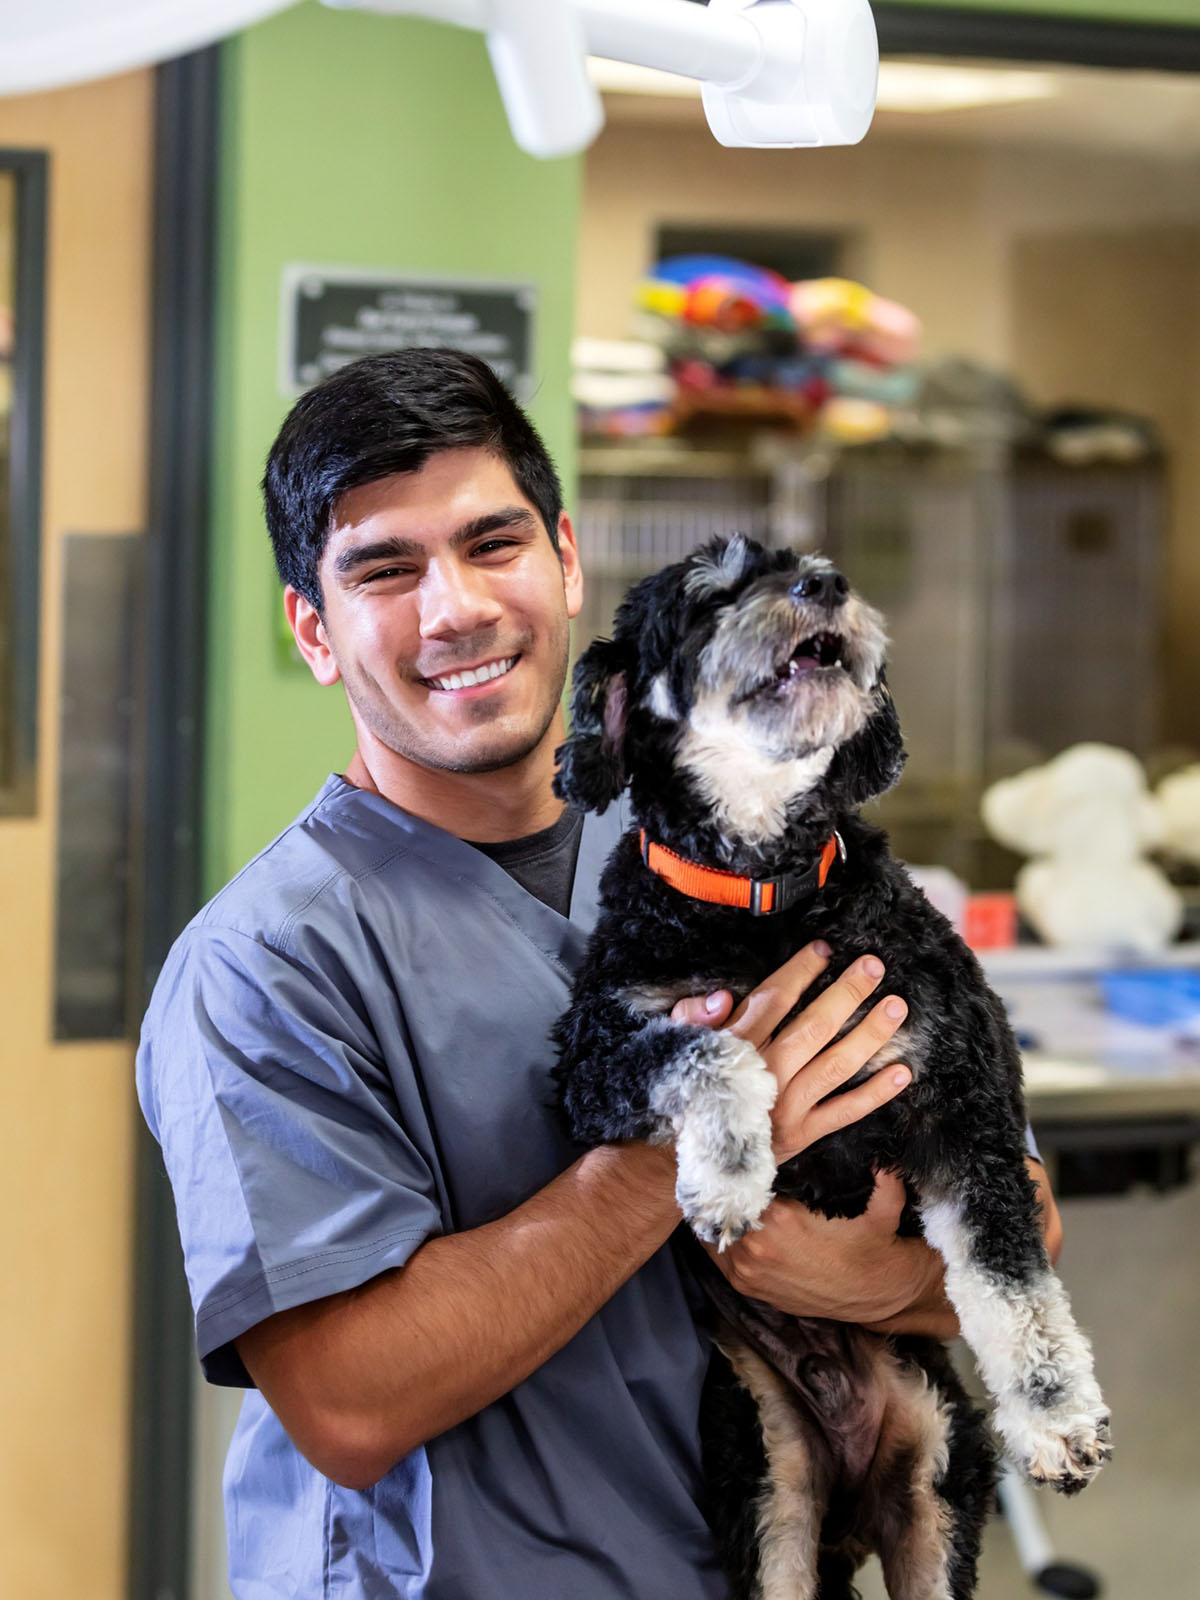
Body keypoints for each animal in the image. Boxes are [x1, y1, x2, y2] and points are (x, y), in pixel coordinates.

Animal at [550, 534, 1113, 1600]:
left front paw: (1058, 1419)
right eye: (708, 595)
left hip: (938, 1485)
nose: (827, 587)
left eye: (806, 564)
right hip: (769, 1486)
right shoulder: (590, 1063)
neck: (763, 891)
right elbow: (714, 1044)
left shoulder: (963, 1109)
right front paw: (731, 1172)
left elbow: (1014, 1279)